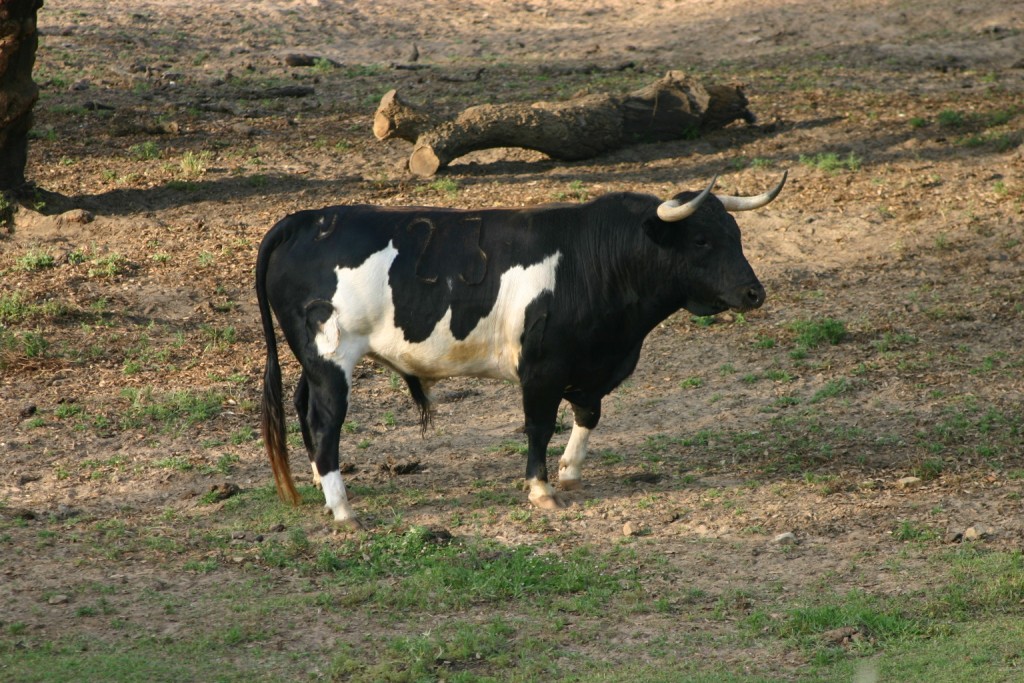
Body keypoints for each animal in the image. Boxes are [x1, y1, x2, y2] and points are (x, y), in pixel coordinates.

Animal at [256, 172, 782, 528]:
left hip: (314, 361)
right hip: (331, 358)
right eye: (702, 239)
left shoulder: (593, 366)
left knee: (305, 410)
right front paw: (541, 489)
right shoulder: (542, 370)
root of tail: (307, 218)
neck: (594, 261)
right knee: (325, 423)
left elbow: (588, 415)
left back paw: (323, 486)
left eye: (737, 235)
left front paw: (570, 472)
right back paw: (343, 509)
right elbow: (539, 427)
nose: (754, 293)